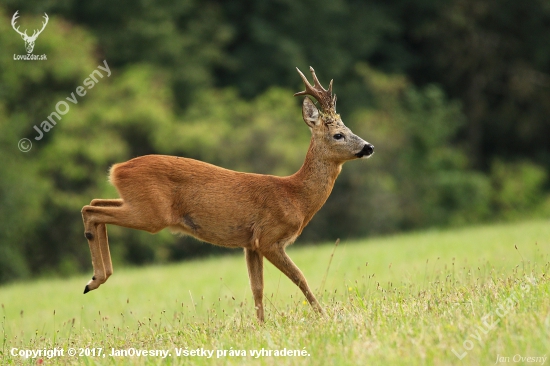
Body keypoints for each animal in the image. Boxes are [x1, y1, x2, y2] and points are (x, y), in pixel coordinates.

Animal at [82, 67, 376, 322]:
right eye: (338, 135)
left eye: (350, 130)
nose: (369, 147)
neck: (295, 196)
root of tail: (117, 169)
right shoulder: (269, 238)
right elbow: (299, 277)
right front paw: (324, 316)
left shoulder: (250, 244)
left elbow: (257, 288)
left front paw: (261, 325)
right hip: (152, 213)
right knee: (91, 210)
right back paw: (95, 279)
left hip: (137, 203)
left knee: (94, 203)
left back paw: (95, 278)